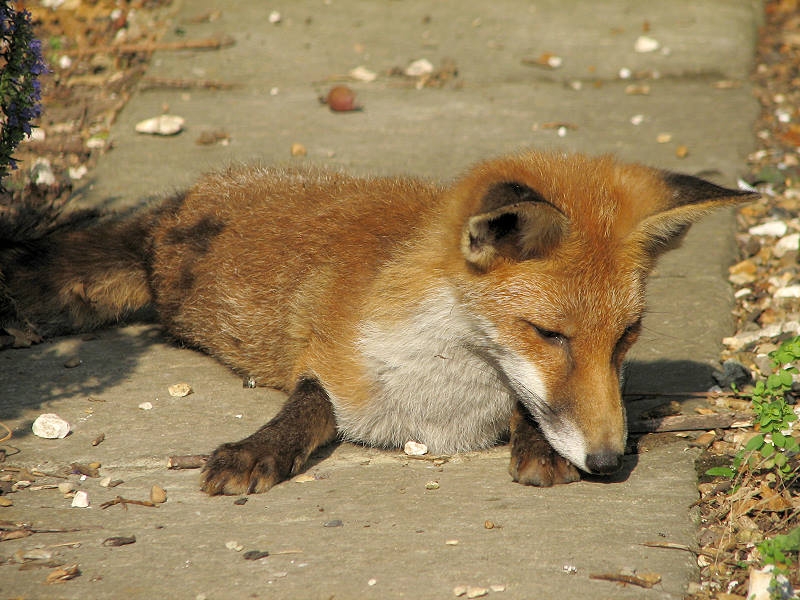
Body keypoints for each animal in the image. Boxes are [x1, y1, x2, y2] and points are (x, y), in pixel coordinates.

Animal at [0, 151, 756, 495]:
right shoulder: (331, 363)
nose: (605, 462)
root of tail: (195, 196)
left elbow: (526, 410)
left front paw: (539, 446)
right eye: (549, 335)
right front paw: (258, 449)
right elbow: (306, 406)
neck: (441, 399)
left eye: (626, 338)